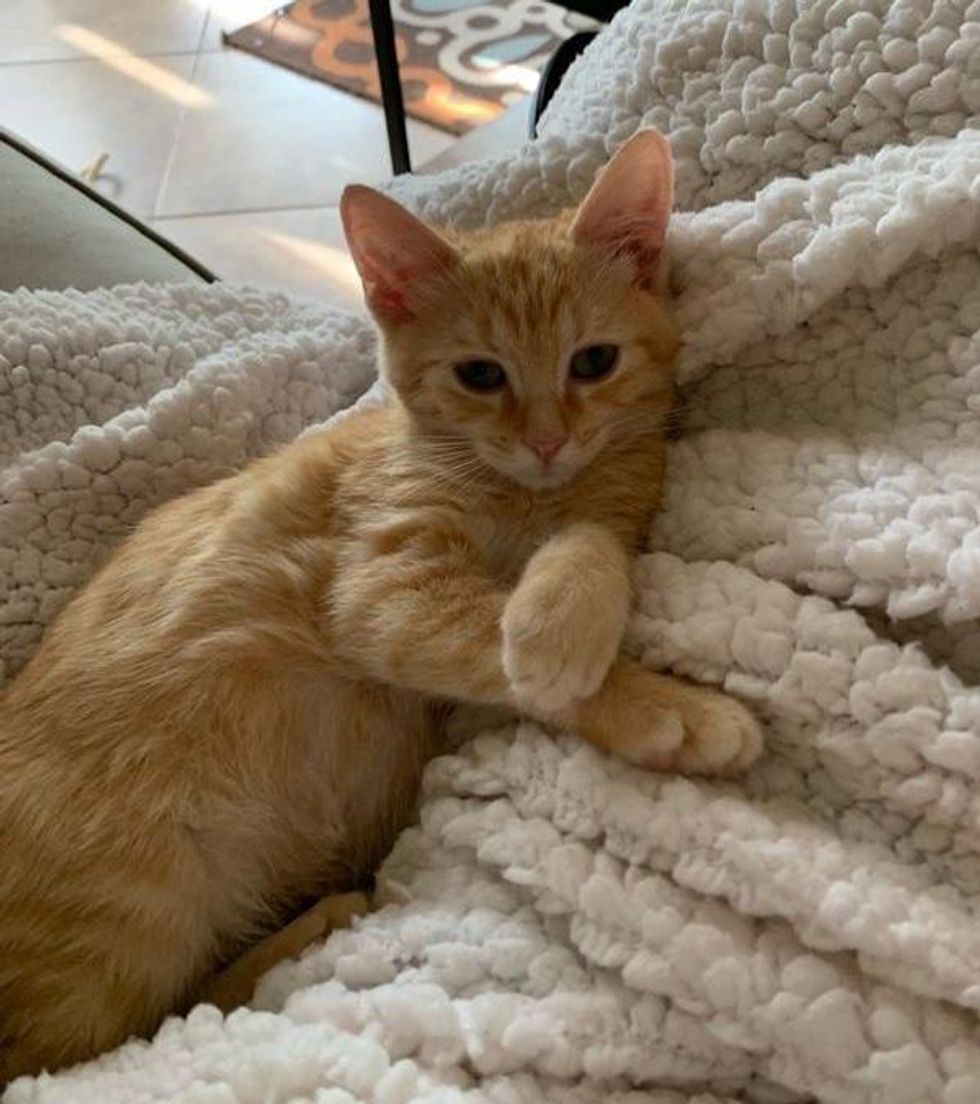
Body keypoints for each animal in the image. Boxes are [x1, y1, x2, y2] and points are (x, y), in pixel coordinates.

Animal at [0, 131, 763, 1086]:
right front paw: (666, 706)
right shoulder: (381, 590)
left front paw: (568, 609)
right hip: (129, 912)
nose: (547, 440)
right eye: (480, 375)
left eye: (594, 362)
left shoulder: (614, 498)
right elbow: (501, 648)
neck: (518, 495)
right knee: (92, 1050)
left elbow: (591, 540)